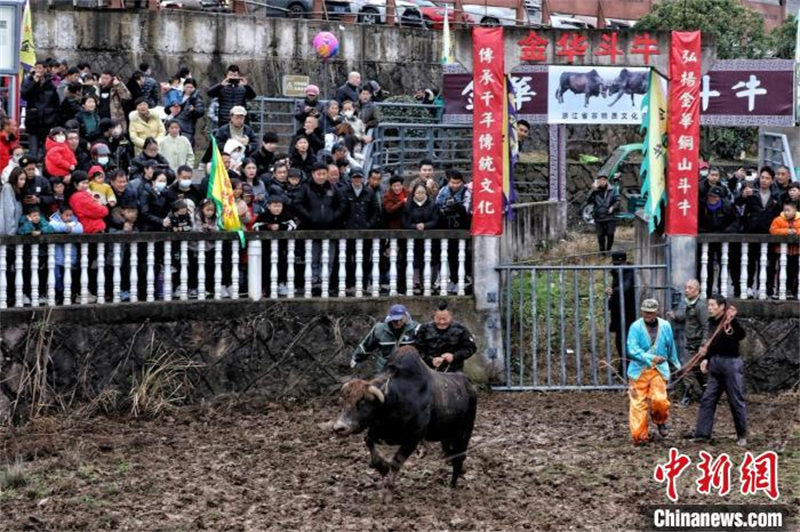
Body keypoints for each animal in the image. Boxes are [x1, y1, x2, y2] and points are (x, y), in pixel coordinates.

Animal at [332, 344, 478, 498]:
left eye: (363, 402)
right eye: (343, 402)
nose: (339, 428)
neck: (395, 399)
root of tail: (468, 384)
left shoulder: (413, 437)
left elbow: (397, 460)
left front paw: (389, 486)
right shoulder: (379, 431)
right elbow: (368, 440)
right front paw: (382, 467)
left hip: (464, 433)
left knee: (459, 457)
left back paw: (452, 485)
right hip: (446, 436)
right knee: (452, 454)